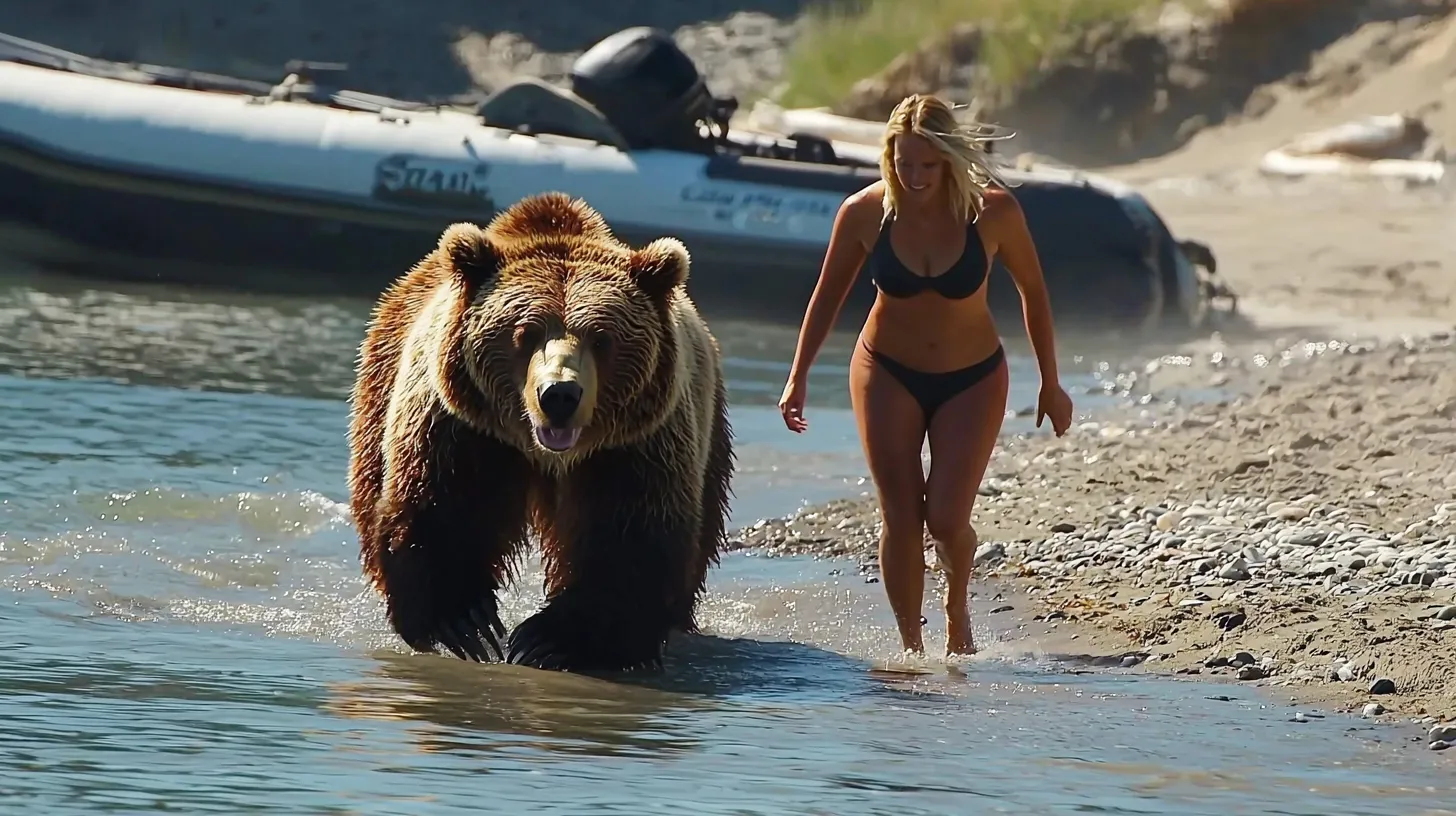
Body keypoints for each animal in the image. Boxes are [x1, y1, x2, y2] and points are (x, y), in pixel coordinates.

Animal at [346, 191, 735, 672]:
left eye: (601, 338)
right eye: (525, 332)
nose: (559, 394)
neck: (545, 453)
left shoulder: (635, 445)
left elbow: (629, 537)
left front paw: (550, 639)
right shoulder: (461, 427)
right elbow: (440, 504)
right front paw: (465, 621)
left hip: (710, 431)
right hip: (380, 382)